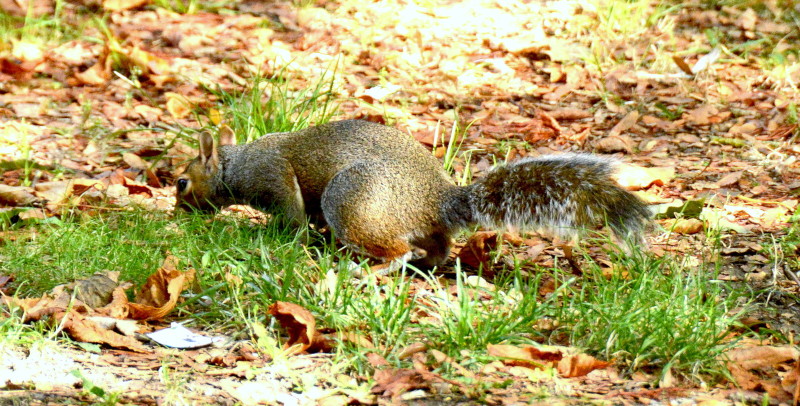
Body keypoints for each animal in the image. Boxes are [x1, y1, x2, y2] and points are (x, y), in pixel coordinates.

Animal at [175, 119, 650, 269]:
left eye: (181, 183)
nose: (177, 211)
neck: (236, 165)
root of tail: (436, 202)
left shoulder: (273, 175)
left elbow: (291, 211)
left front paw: (276, 234)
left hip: (350, 197)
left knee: (397, 250)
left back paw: (370, 268)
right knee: (435, 248)